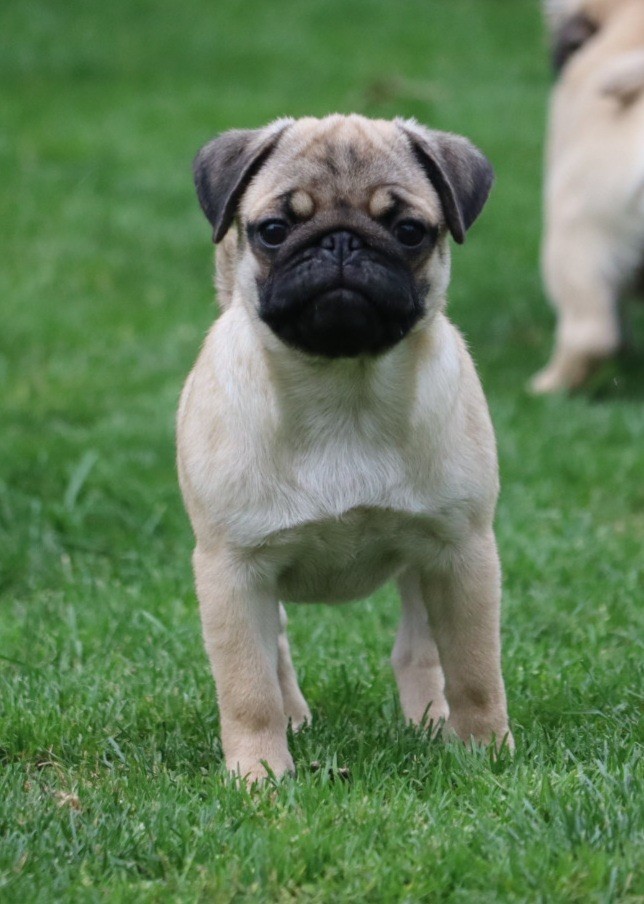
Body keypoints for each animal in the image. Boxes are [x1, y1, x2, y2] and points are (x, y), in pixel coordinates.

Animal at [177, 113, 512, 780]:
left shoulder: (463, 554)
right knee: (276, 654)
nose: (340, 243)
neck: (342, 389)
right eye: (274, 231)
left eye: (408, 231)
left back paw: (431, 721)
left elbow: (475, 669)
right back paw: (293, 722)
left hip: (426, 564)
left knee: (417, 649)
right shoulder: (233, 572)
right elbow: (247, 688)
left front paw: (487, 752)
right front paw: (259, 774)